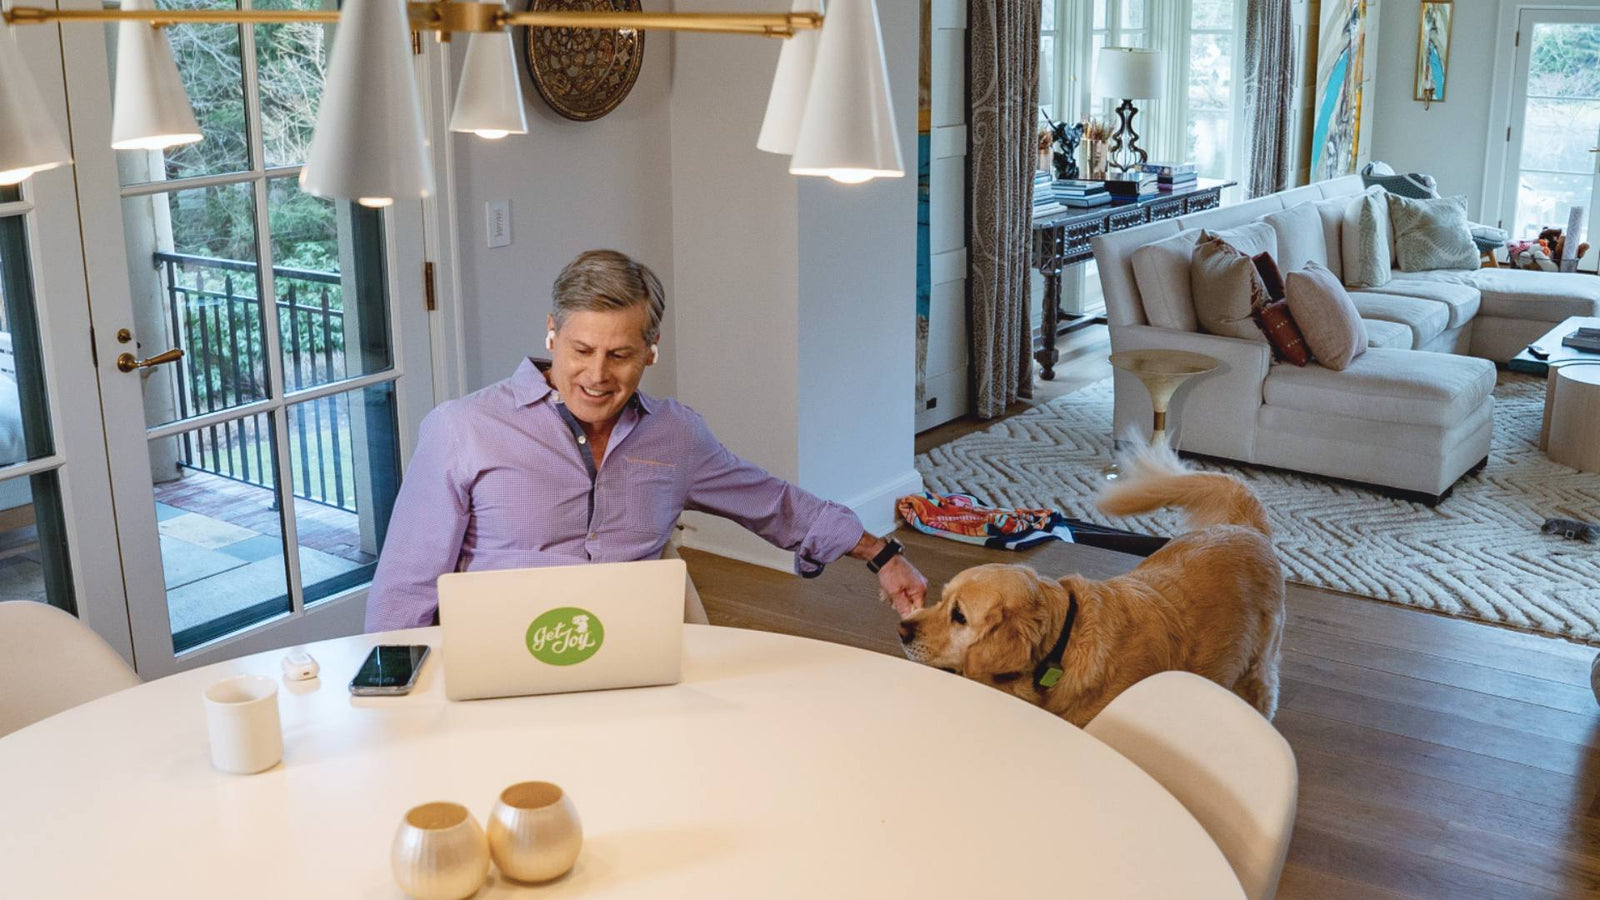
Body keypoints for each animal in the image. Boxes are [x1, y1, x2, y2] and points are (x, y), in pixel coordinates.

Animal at [902, 445, 1286, 723]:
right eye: (941, 599)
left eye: (959, 616)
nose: (902, 629)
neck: (1062, 646)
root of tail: (1245, 527)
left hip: (1258, 669)